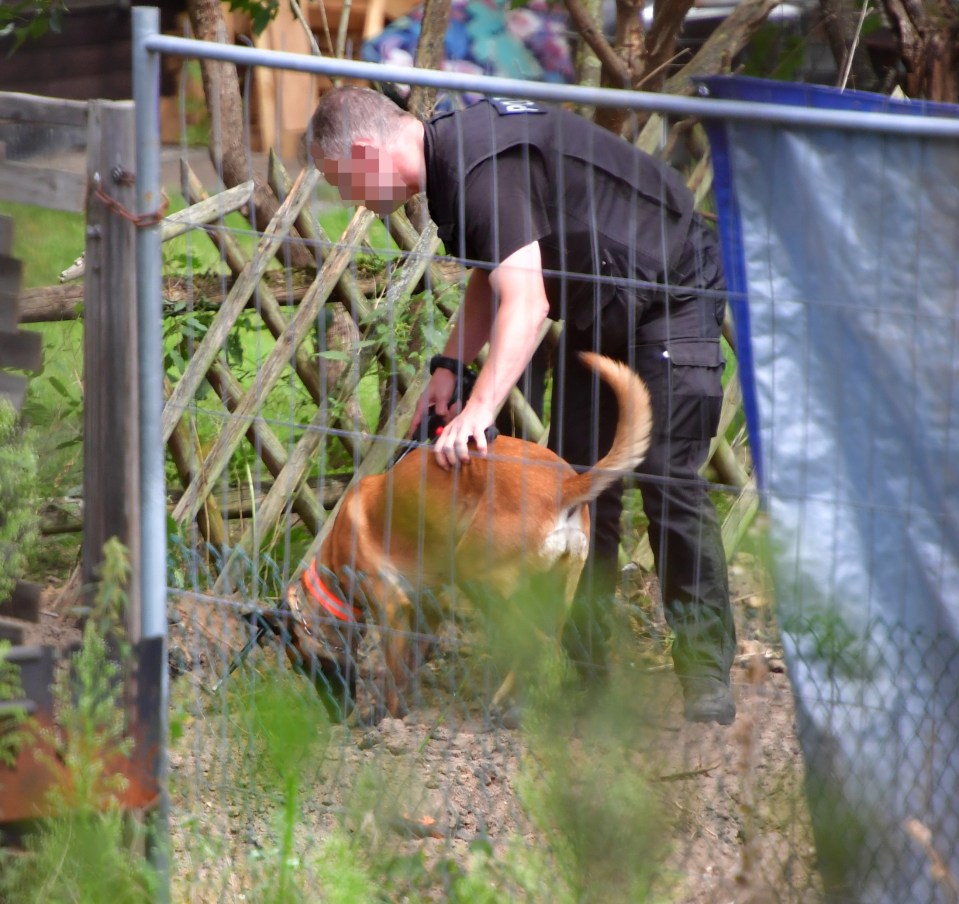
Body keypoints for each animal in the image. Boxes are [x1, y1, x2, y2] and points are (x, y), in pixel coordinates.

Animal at [284, 354, 652, 720]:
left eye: (305, 664)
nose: (336, 716)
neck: (334, 562)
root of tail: (567, 485)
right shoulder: (426, 609)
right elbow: (409, 664)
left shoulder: (392, 608)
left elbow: (392, 674)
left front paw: (384, 719)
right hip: (557, 590)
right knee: (551, 640)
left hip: (480, 580)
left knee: (536, 642)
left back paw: (504, 702)